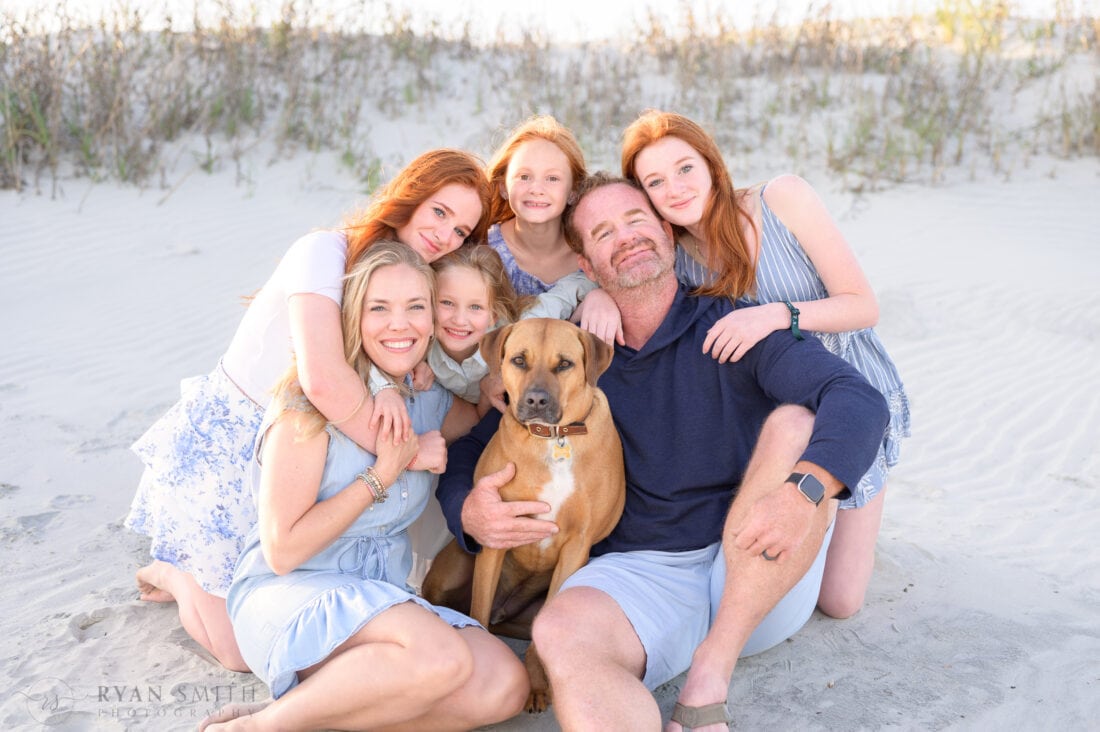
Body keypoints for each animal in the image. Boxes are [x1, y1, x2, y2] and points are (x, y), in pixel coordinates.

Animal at [420, 317, 629, 708]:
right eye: (519, 360)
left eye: (564, 364)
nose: (535, 400)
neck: (554, 438)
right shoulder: (495, 537)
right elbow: (479, 611)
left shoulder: (577, 546)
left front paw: (535, 681)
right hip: (452, 569)